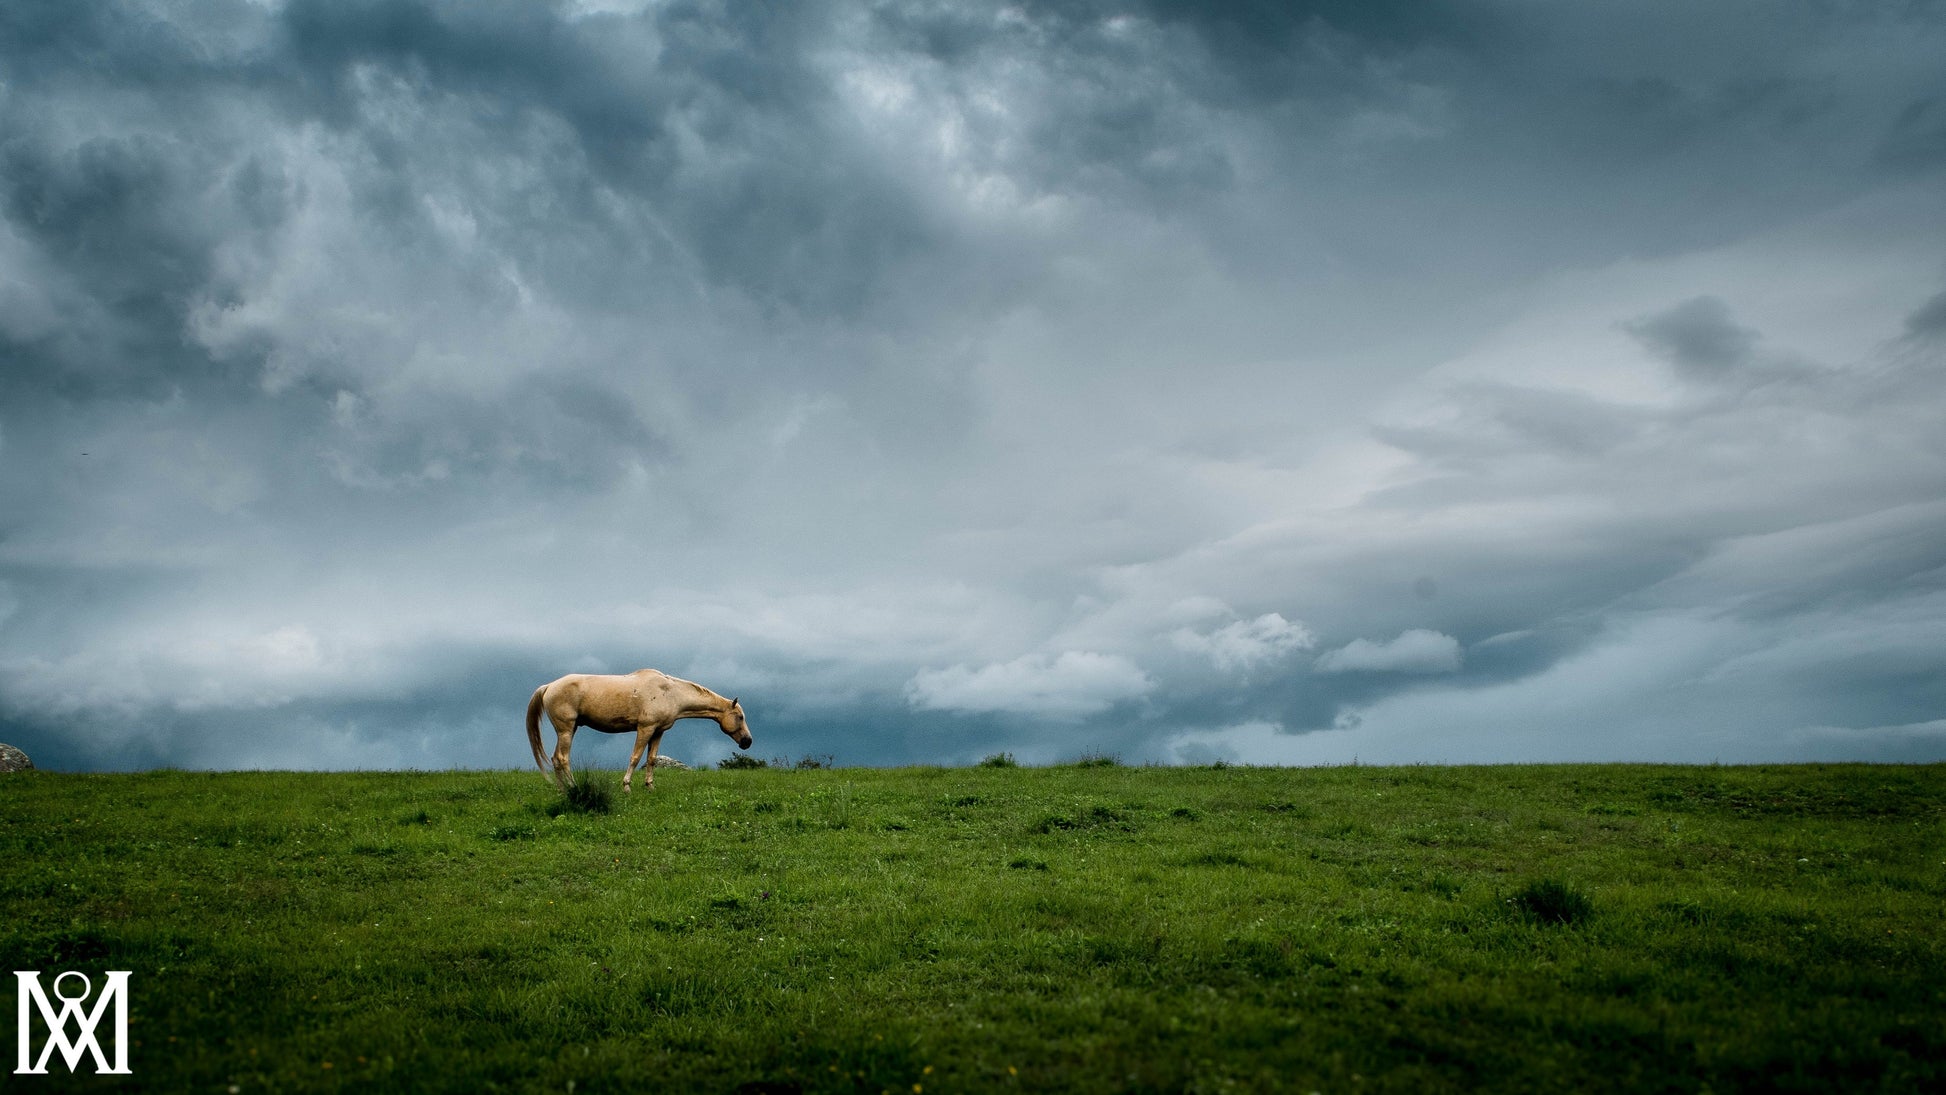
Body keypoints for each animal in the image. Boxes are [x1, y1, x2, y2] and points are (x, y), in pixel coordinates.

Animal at [525, 665, 751, 793]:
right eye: (740, 717)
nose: (747, 741)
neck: (670, 692)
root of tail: (549, 686)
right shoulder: (645, 728)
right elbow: (635, 757)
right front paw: (626, 786)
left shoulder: (658, 731)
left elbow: (651, 759)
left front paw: (650, 786)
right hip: (566, 730)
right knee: (563, 758)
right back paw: (574, 787)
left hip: (569, 730)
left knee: (555, 759)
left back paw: (562, 790)